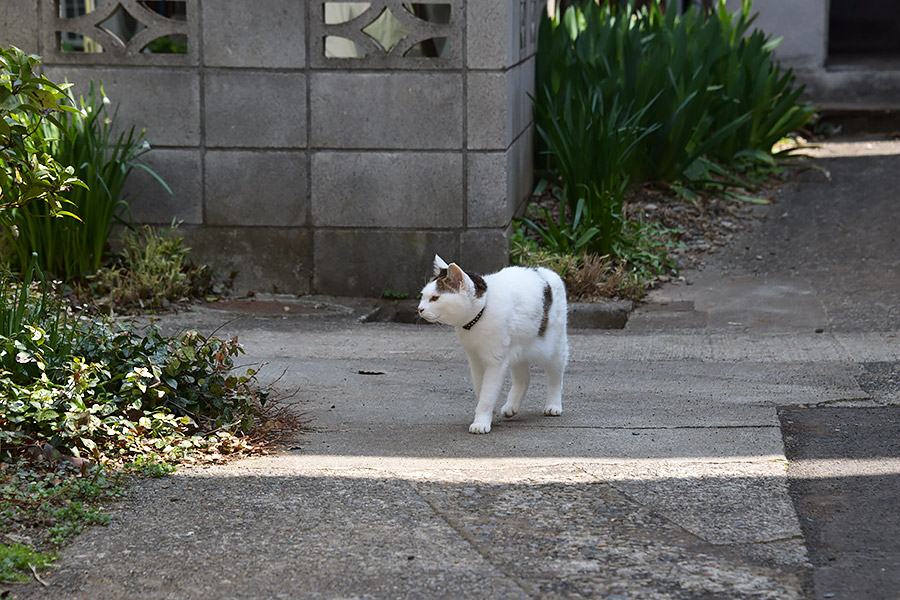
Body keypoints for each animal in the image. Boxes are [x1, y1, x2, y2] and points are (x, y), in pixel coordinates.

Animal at [416, 255, 568, 434]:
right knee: (524, 378)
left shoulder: (495, 362)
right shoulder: (475, 360)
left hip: (553, 348)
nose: (419, 309)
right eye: (423, 296)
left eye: (435, 298)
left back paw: (553, 405)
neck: (480, 314)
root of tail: (545, 270)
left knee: (555, 376)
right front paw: (490, 414)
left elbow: (487, 394)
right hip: (518, 350)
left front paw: (481, 421)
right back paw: (511, 406)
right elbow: (480, 388)